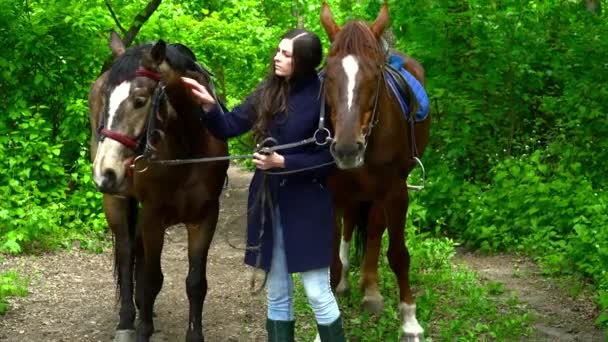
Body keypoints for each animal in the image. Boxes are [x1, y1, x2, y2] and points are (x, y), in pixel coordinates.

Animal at [87, 30, 226, 340]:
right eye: (105, 99)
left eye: (140, 100)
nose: (104, 172)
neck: (189, 147)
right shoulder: (153, 217)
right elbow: (152, 279)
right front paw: (142, 329)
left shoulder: (205, 217)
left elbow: (196, 282)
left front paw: (193, 334)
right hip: (115, 201)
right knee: (127, 254)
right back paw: (127, 320)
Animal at [320, 1, 430, 340]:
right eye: (327, 75)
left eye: (375, 75)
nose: (346, 149)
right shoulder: (331, 192)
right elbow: (331, 260)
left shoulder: (396, 192)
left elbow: (398, 254)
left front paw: (409, 320)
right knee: (351, 224)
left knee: (373, 229)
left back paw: (371, 289)